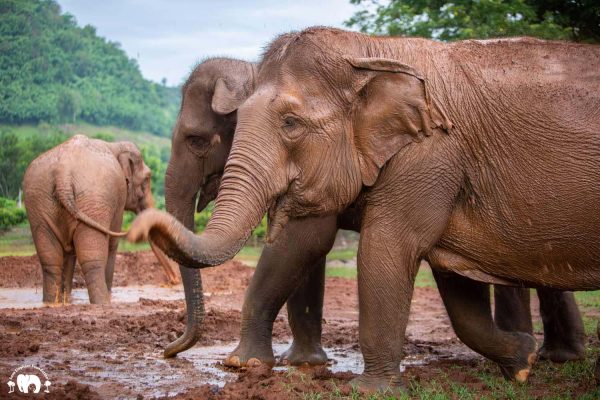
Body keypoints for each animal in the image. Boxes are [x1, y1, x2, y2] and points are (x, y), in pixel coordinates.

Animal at [21, 134, 176, 304]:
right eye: (147, 178)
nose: (173, 281)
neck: (114, 145)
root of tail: (63, 175)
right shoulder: (117, 200)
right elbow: (112, 243)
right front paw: (108, 296)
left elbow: (69, 251)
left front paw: (68, 299)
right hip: (93, 200)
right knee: (92, 259)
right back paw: (102, 302)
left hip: (39, 202)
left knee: (50, 259)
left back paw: (51, 302)